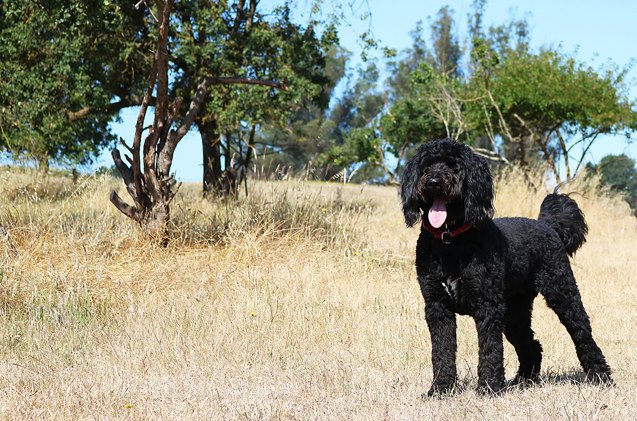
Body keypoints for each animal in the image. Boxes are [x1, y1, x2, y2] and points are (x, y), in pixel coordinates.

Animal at [402, 138, 612, 394]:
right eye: (426, 166)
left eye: (454, 166)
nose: (433, 182)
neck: (450, 241)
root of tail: (547, 225)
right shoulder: (437, 307)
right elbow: (442, 352)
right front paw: (441, 389)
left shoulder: (488, 307)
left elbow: (490, 350)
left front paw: (489, 388)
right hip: (514, 312)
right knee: (532, 345)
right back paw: (524, 380)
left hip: (563, 294)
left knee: (582, 334)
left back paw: (601, 376)